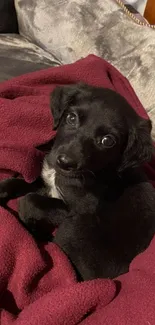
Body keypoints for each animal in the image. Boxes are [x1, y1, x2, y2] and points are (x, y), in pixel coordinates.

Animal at [0, 83, 155, 278]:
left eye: (108, 140)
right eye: (71, 118)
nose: (65, 162)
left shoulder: (77, 210)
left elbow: (30, 200)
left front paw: (26, 216)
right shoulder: (45, 182)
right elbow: (23, 183)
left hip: (74, 229)